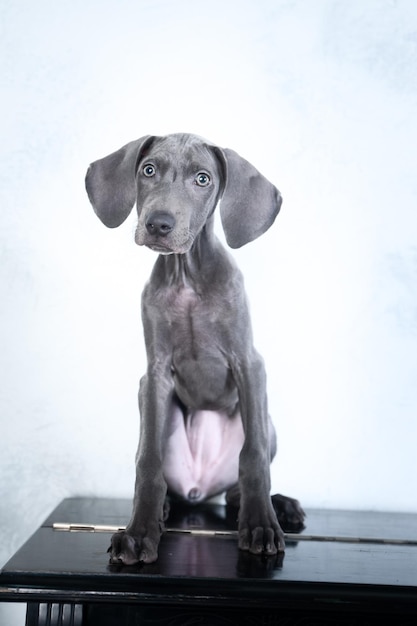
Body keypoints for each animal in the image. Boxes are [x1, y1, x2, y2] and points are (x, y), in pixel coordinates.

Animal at [85, 134, 306, 564]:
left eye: (203, 178)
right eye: (148, 170)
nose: (158, 224)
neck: (186, 275)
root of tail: (198, 489)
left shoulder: (249, 364)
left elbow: (253, 457)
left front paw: (260, 525)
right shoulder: (154, 376)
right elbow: (147, 462)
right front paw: (138, 533)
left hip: (266, 424)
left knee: (237, 488)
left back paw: (280, 506)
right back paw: (165, 508)